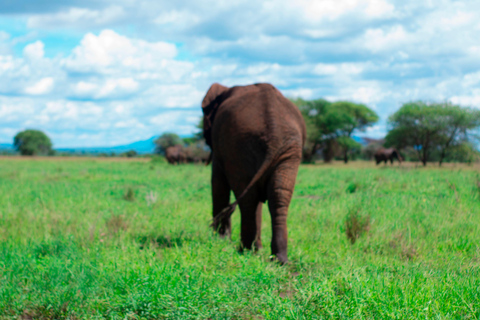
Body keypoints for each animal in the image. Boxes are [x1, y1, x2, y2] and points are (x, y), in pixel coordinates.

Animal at [201, 83, 306, 264]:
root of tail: (274, 134)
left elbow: (218, 185)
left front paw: (219, 241)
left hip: (239, 146)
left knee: (248, 199)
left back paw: (244, 251)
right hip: (286, 151)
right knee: (278, 197)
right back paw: (278, 260)